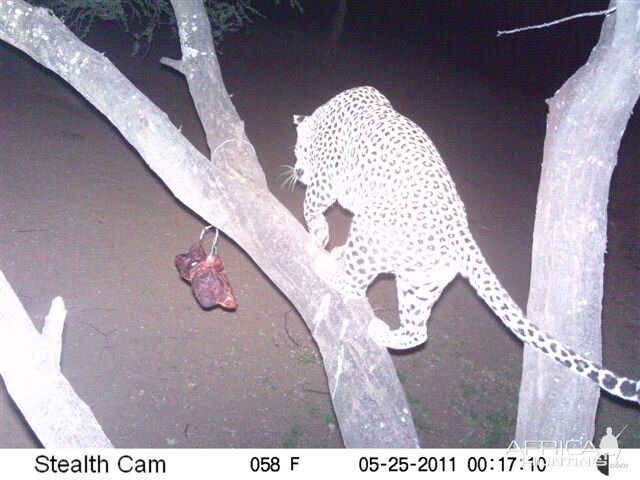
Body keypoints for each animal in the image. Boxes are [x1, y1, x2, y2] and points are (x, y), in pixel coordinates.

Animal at [288, 84, 640, 404]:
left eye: (299, 151)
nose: (298, 170)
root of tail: (462, 235)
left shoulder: (327, 176)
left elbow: (312, 202)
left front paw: (318, 232)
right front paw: (328, 239)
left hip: (372, 227)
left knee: (357, 284)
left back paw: (328, 268)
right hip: (420, 283)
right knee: (418, 331)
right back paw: (383, 330)